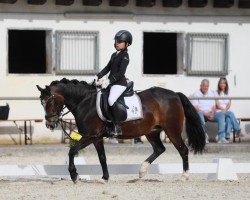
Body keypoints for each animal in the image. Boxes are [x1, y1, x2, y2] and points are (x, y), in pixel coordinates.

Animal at [36, 78, 205, 183]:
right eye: (41, 102)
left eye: (50, 101)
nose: (50, 124)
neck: (85, 102)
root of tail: (175, 94)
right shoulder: (97, 138)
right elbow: (102, 158)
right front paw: (104, 178)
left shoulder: (90, 136)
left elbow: (72, 151)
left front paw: (74, 176)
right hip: (151, 131)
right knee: (159, 149)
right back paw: (142, 171)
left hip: (172, 130)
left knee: (183, 150)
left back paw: (184, 176)